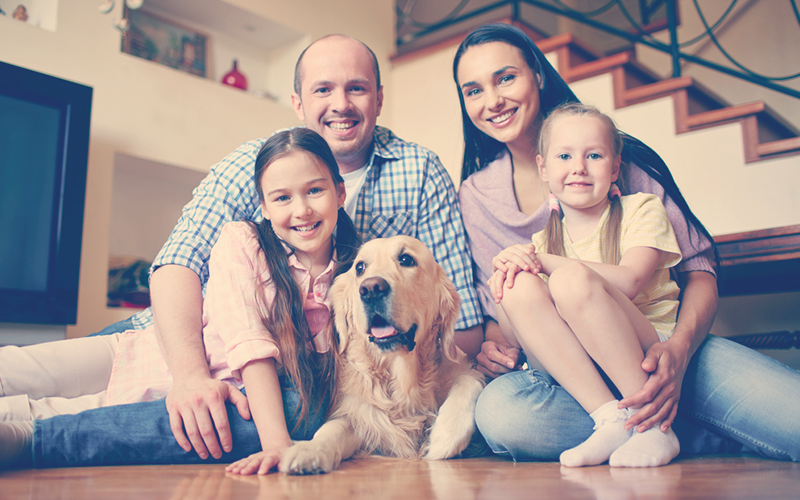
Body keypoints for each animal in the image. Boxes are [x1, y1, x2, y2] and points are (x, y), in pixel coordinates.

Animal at [278, 236, 484, 474]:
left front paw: (444, 436)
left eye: (406, 259)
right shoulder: (364, 415)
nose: (371, 289)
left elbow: (469, 381)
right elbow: (333, 429)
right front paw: (309, 450)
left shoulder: (458, 367)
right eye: (360, 268)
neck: (400, 375)